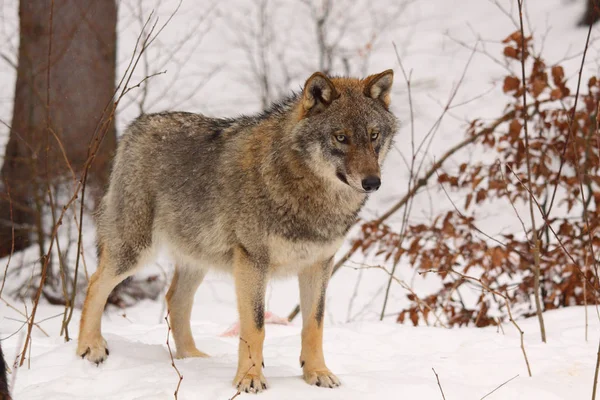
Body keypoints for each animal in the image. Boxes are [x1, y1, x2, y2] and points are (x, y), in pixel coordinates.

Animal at [77, 70, 398, 392]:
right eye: (341, 137)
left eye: (373, 136)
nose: (373, 182)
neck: (306, 189)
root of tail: (137, 125)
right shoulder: (252, 261)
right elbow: (255, 326)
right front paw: (249, 378)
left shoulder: (319, 265)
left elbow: (314, 324)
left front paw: (317, 372)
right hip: (135, 251)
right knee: (94, 284)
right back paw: (90, 347)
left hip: (197, 256)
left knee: (175, 299)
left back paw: (191, 358)